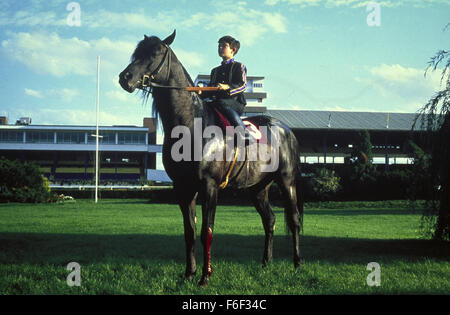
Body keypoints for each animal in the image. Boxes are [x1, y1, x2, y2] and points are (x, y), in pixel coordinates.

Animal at [119, 30, 304, 288]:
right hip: (258, 188)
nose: (124, 78)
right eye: (136, 52)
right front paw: (189, 273)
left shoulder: (209, 186)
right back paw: (266, 263)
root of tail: (285, 129)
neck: (191, 125)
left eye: (155, 53)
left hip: (287, 181)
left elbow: (207, 231)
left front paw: (205, 276)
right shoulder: (183, 188)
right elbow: (189, 231)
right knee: (270, 219)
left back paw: (297, 263)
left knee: (294, 219)